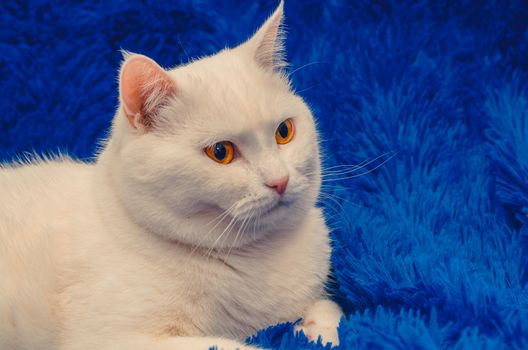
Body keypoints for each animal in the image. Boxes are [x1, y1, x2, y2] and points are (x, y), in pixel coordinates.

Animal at [0, 2, 342, 350]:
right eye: (221, 152)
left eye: (284, 132)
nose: (279, 180)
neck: (261, 254)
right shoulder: (112, 337)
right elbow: (234, 345)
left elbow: (330, 309)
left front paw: (318, 330)